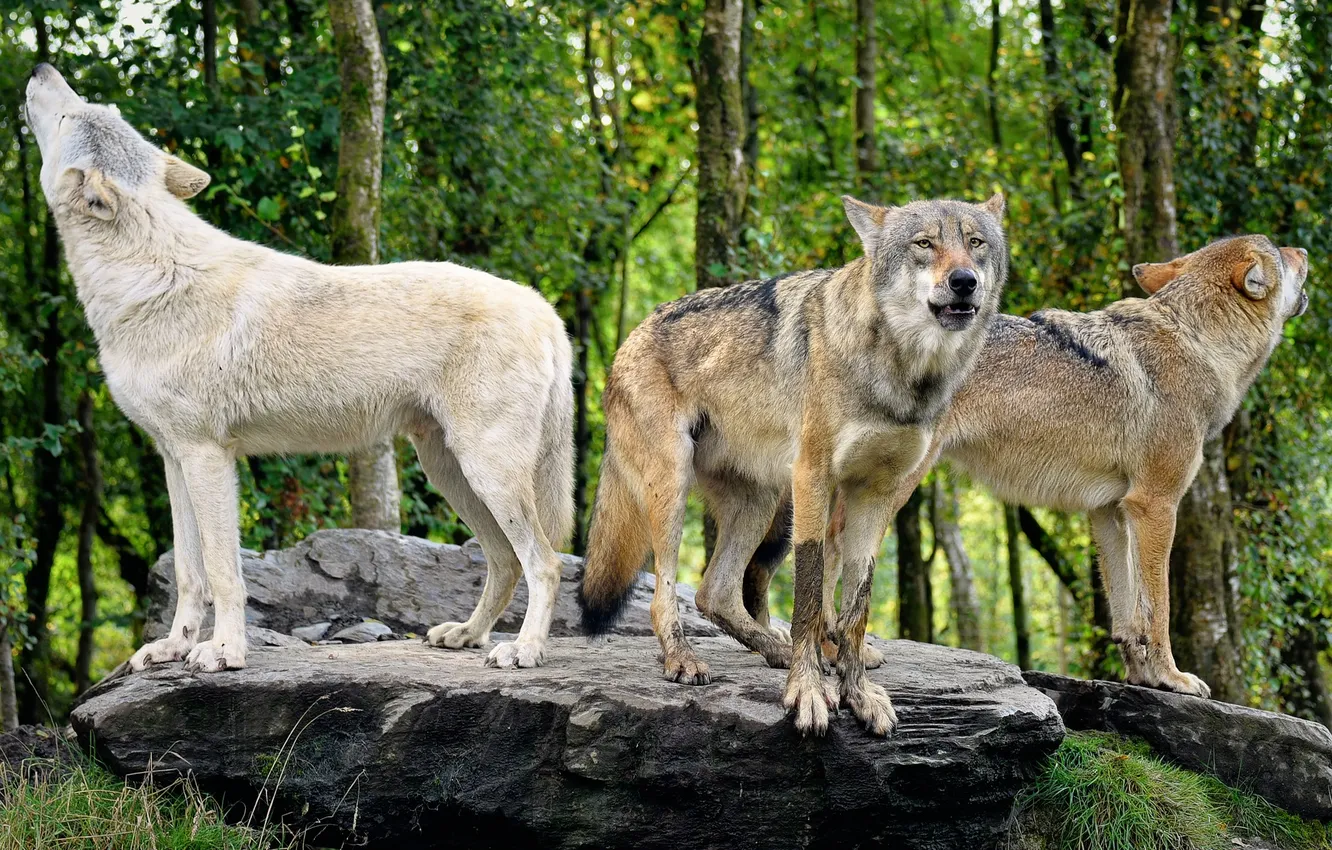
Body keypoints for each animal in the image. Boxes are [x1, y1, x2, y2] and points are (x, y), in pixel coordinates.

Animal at [25, 64, 574, 673]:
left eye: (72, 113)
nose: (40, 69)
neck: (148, 277)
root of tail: (543, 306)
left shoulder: (207, 458)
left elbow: (224, 573)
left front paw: (224, 652)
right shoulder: (174, 459)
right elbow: (191, 573)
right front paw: (174, 647)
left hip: (486, 473)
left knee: (545, 562)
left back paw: (524, 649)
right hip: (450, 472)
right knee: (505, 561)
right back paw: (468, 635)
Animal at [578, 191, 1007, 736]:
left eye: (975, 242)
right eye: (924, 244)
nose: (964, 281)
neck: (903, 373)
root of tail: (628, 340)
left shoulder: (877, 494)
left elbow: (856, 605)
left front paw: (856, 692)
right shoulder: (813, 478)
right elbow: (809, 591)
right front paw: (808, 690)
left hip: (760, 504)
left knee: (715, 593)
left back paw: (775, 651)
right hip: (676, 490)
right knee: (667, 593)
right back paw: (685, 659)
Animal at [746, 234, 1310, 699]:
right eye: (1281, 252)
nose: (1306, 250)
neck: (1197, 342)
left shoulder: (1110, 512)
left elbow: (1127, 614)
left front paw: (1143, 679)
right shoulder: (1156, 506)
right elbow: (1160, 608)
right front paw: (1174, 678)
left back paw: (838, 649)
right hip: (893, 483)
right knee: (835, 549)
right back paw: (840, 650)